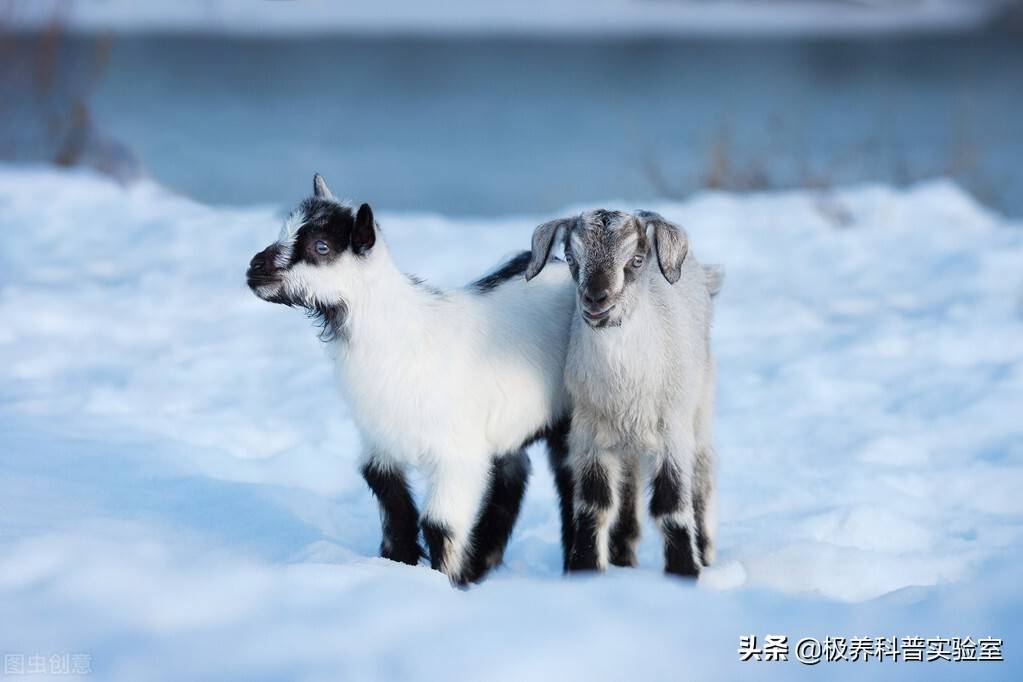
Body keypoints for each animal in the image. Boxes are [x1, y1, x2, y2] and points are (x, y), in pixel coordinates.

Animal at [245, 173, 576, 584]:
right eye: (284, 230)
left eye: (321, 247)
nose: (254, 268)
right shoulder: (380, 446)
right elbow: (397, 514)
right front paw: (397, 567)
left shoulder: (457, 455)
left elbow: (438, 524)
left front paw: (445, 582)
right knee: (514, 475)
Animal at [527, 208, 720, 576]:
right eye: (571, 258)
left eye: (637, 260)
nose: (595, 299)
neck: (625, 388)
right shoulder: (589, 433)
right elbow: (594, 504)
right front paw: (586, 569)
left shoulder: (672, 431)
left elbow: (671, 506)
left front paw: (684, 572)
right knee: (627, 492)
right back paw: (622, 556)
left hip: (700, 407)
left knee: (702, 476)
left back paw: (706, 554)